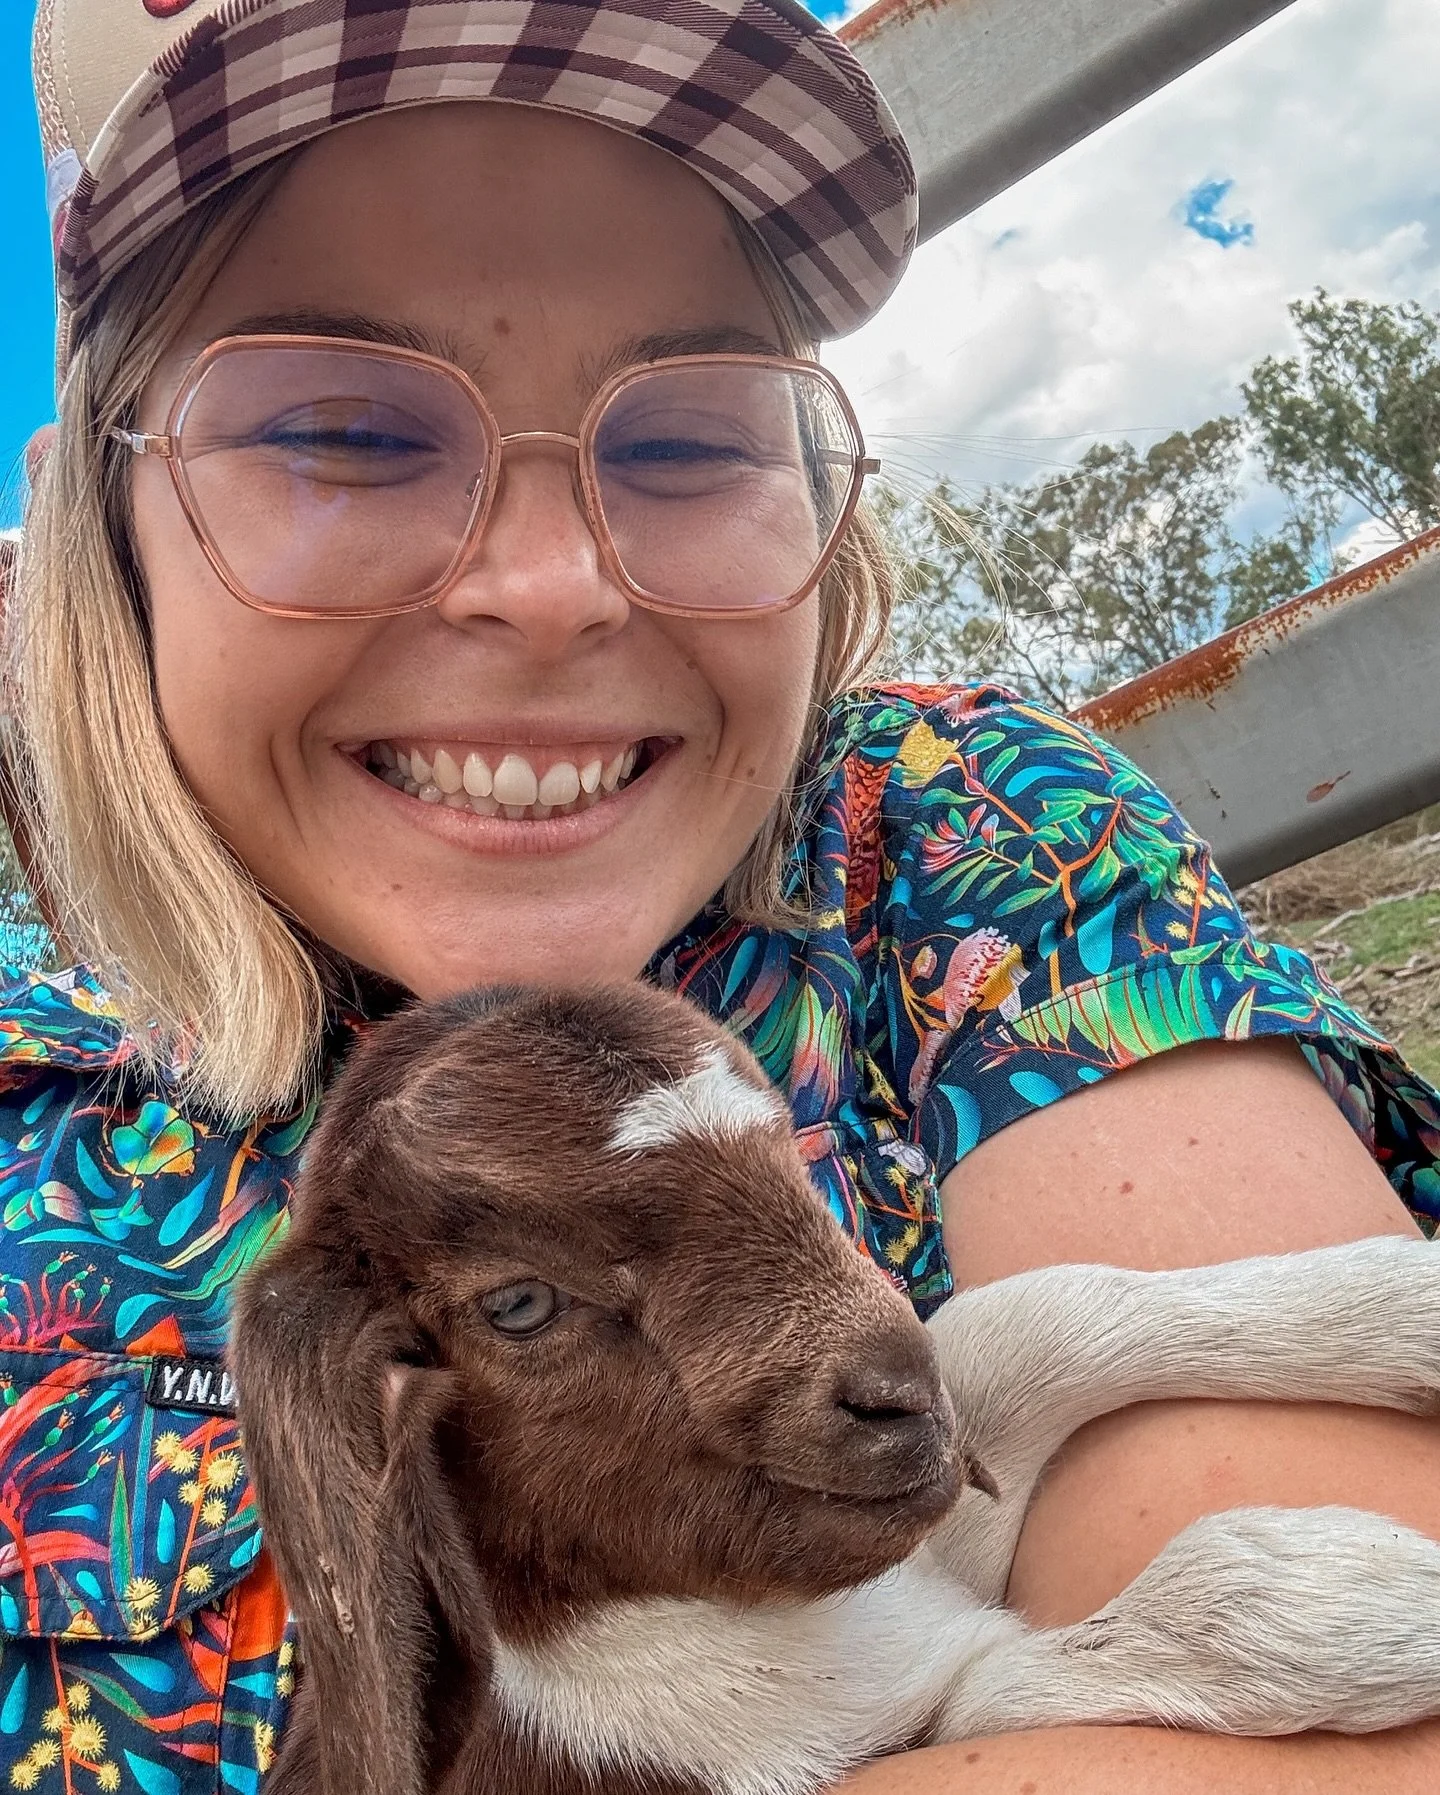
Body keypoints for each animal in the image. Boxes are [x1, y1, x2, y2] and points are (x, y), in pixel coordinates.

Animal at [230, 983, 1440, 1795]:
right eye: (519, 1303)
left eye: (791, 1156)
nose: (898, 1403)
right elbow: (1000, 1686)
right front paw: (1381, 1599)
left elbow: (1036, 1319)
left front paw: (1409, 1309)